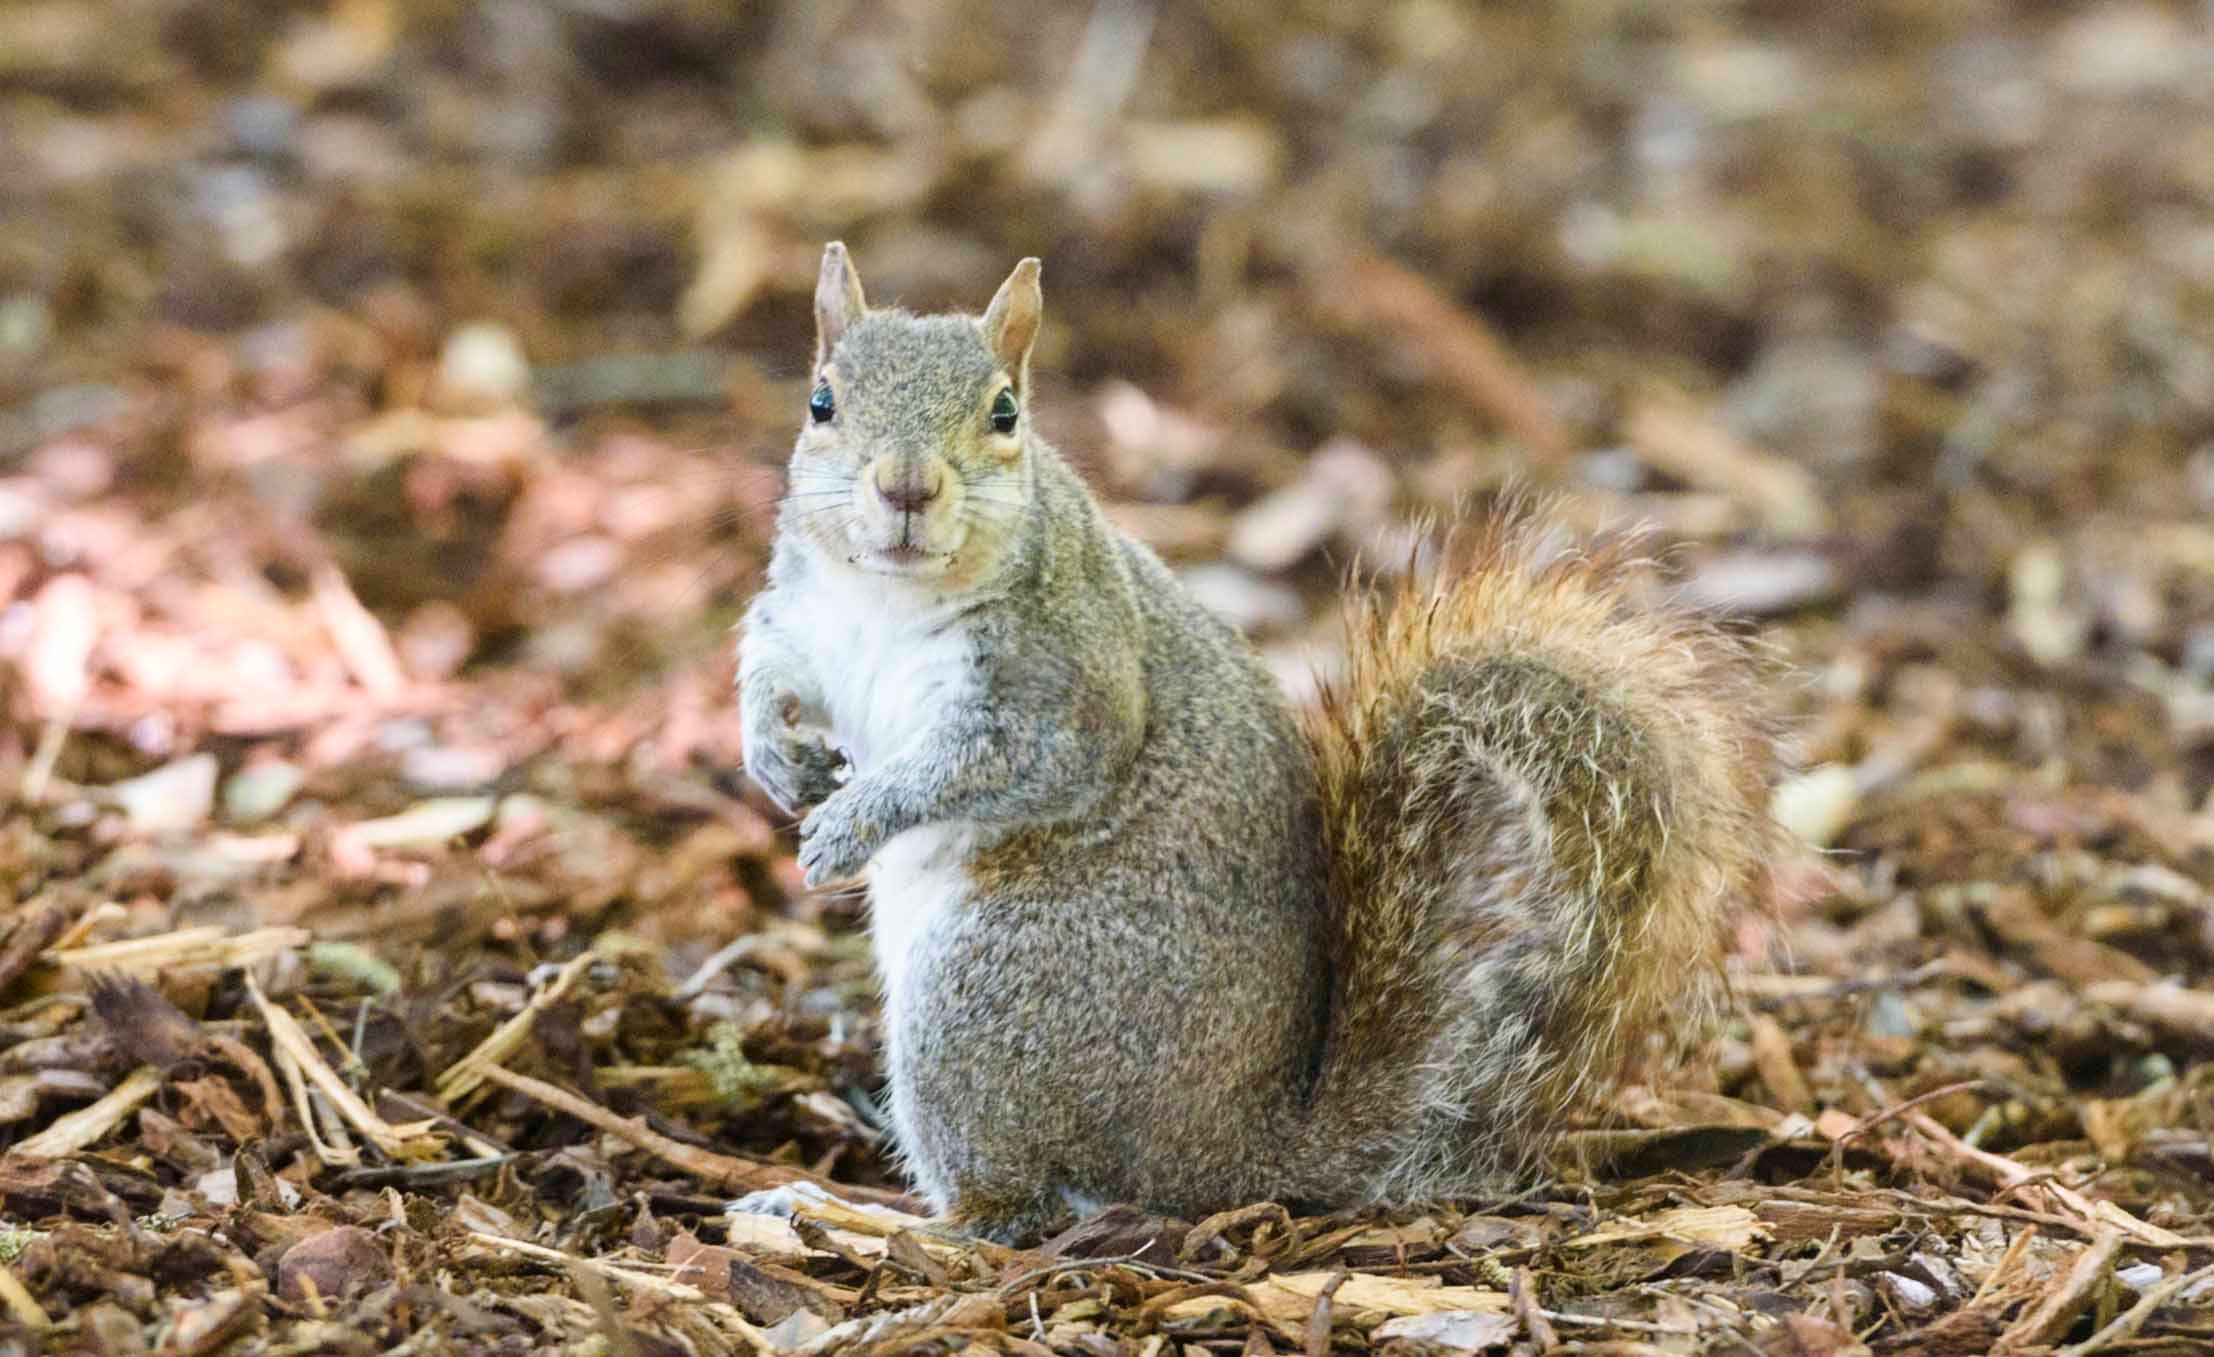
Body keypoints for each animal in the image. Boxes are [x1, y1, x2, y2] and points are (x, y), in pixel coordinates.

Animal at [735, 243, 1788, 1239]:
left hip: (990, 996)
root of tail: (1235, 1151)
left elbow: (1012, 763)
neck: (887, 595)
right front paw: (774, 756)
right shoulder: (807, 611)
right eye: (822, 400)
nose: (906, 486)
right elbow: (770, 660)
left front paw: (853, 820)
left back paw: (854, 1215)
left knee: (1009, 1211)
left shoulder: (1071, 680)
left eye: (1004, 413)